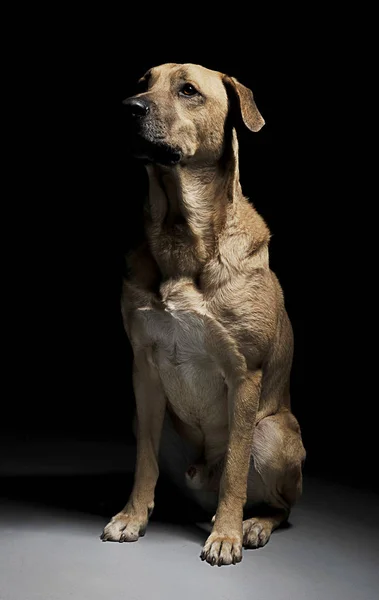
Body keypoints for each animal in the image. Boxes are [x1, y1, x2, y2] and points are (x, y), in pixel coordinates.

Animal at [101, 64, 306, 568]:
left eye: (188, 90)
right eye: (142, 83)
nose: (127, 107)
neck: (181, 234)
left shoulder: (244, 374)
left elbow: (234, 468)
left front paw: (226, 534)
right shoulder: (144, 369)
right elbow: (144, 461)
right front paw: (133, 515)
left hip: (274, 431)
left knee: (280, 506)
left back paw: (252, 524)